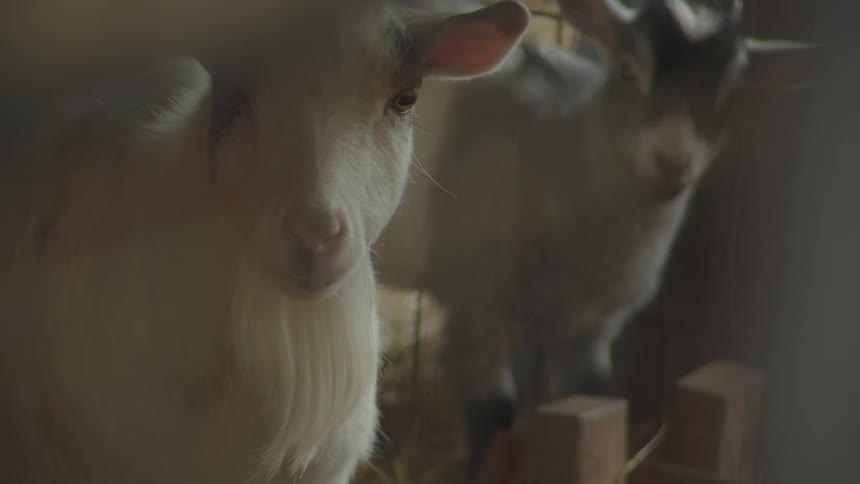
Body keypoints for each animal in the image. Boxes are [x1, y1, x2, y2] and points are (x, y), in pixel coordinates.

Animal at [374, 0, 811, 477]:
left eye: (732, 93)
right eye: (627, 70)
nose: (672, 164)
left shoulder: (591, 328)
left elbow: (591, 398)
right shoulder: (475, 304)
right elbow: (492, 415)